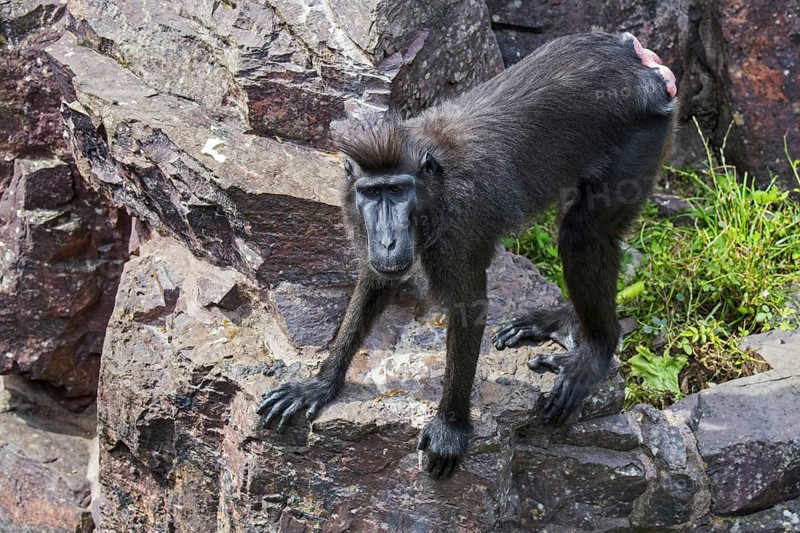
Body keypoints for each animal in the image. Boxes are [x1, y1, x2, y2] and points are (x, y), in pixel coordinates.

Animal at [258, 32, 677, 479]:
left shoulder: (459, 226)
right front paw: (320, 384)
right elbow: (376, 281)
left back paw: (595, 350)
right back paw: (560, 320)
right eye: (372, 193)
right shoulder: (355, 215)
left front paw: (450, 427)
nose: (387, 241)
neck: (432, 185)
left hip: (642, 137)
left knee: (584, 234)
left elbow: (467, 307)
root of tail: (637, 61)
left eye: (398, 191)